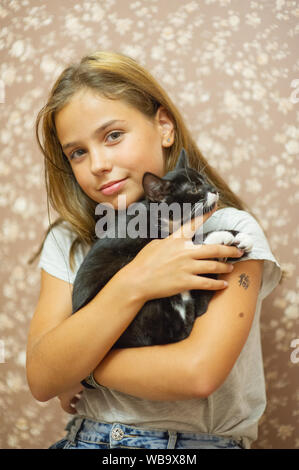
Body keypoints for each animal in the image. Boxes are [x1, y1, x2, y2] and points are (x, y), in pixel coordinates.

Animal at [72, 149, 253, 350]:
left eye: (205, 179)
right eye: (194, 189)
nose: (213, 189)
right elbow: (193, 244)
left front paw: (240, 238)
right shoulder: (145, 242)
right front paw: (222, 237)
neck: (167, 221)